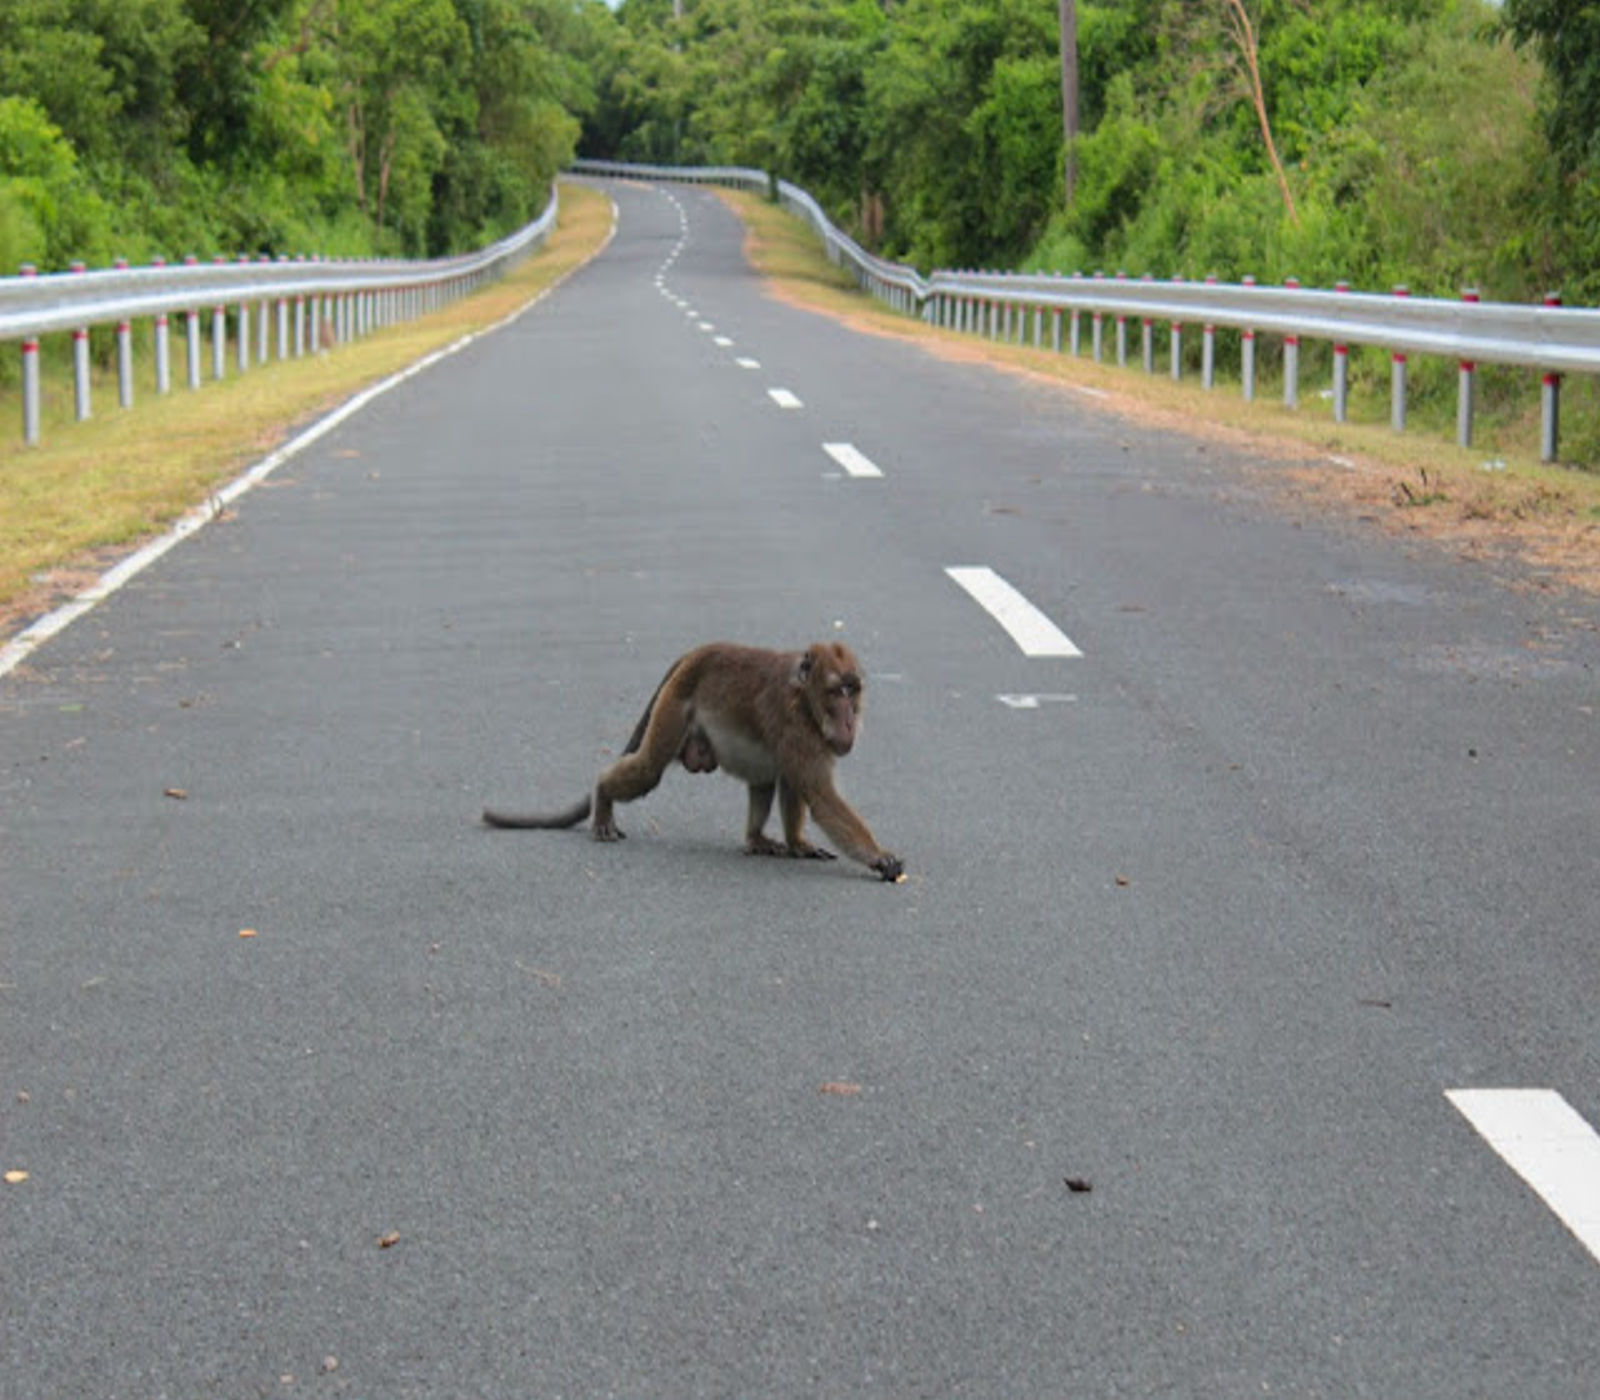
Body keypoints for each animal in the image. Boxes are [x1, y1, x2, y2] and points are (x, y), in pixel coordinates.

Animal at [482, 641, 904, 882]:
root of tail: (696, 653)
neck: (805, 699)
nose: (849, 720)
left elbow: (793, 783)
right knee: (648, 770)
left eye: (853, 690)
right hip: (673, 710)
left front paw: (798, 842)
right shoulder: (797, 725)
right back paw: (602, 798)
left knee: (765, 777)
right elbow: (818, 793)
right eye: (837, 692)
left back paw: (755, 838)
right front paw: (878, 856)